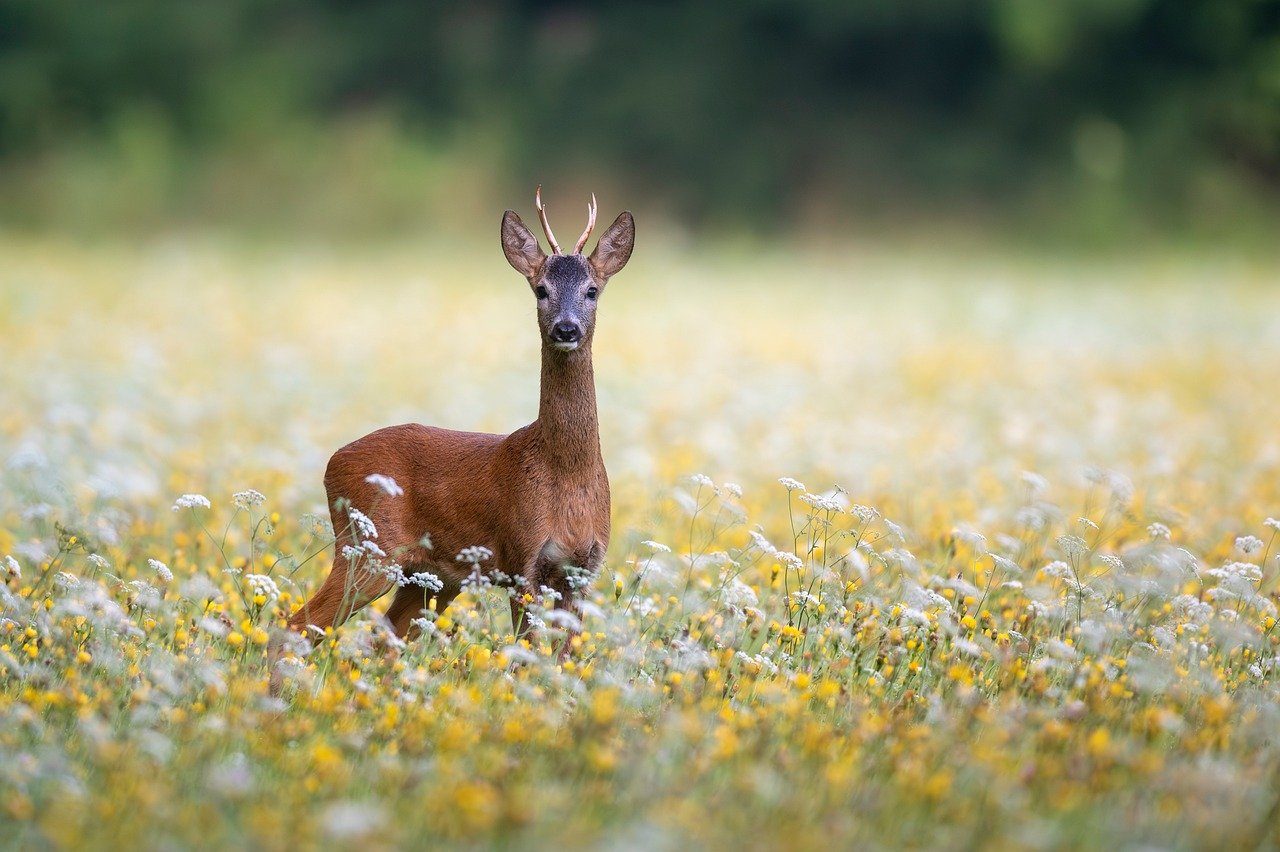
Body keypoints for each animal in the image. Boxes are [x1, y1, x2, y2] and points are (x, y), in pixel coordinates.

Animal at [270, 188, 634, 689]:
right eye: (540, 289)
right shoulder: (522, 559)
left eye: (592, 290)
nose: (566, 328)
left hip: (431, 577)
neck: (565, 473)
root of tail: (332, 463)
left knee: (383, 639)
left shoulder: (583, 569)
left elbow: (564, 662)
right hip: (367, 548)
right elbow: (525, 659)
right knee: (295, 626)